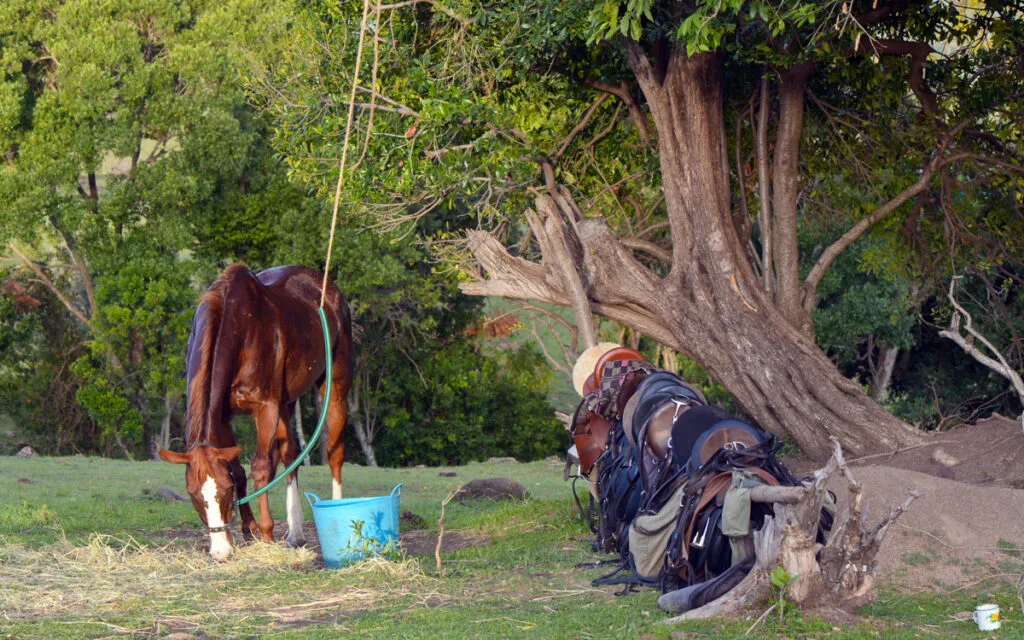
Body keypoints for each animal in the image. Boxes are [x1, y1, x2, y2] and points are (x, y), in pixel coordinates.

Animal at [158, 264, 354, 561]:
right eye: (193, 495)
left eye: (226, 491)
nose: (220, 551)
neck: (240, 327)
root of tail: (327, 287)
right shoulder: (223, 416)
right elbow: (239, 470)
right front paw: (248, 530)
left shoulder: (266, 408)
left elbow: (260, 468)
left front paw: (266, 532)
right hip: (286, 403)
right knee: (290, 454)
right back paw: (295, 531)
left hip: (336, 386)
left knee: (334, 452)